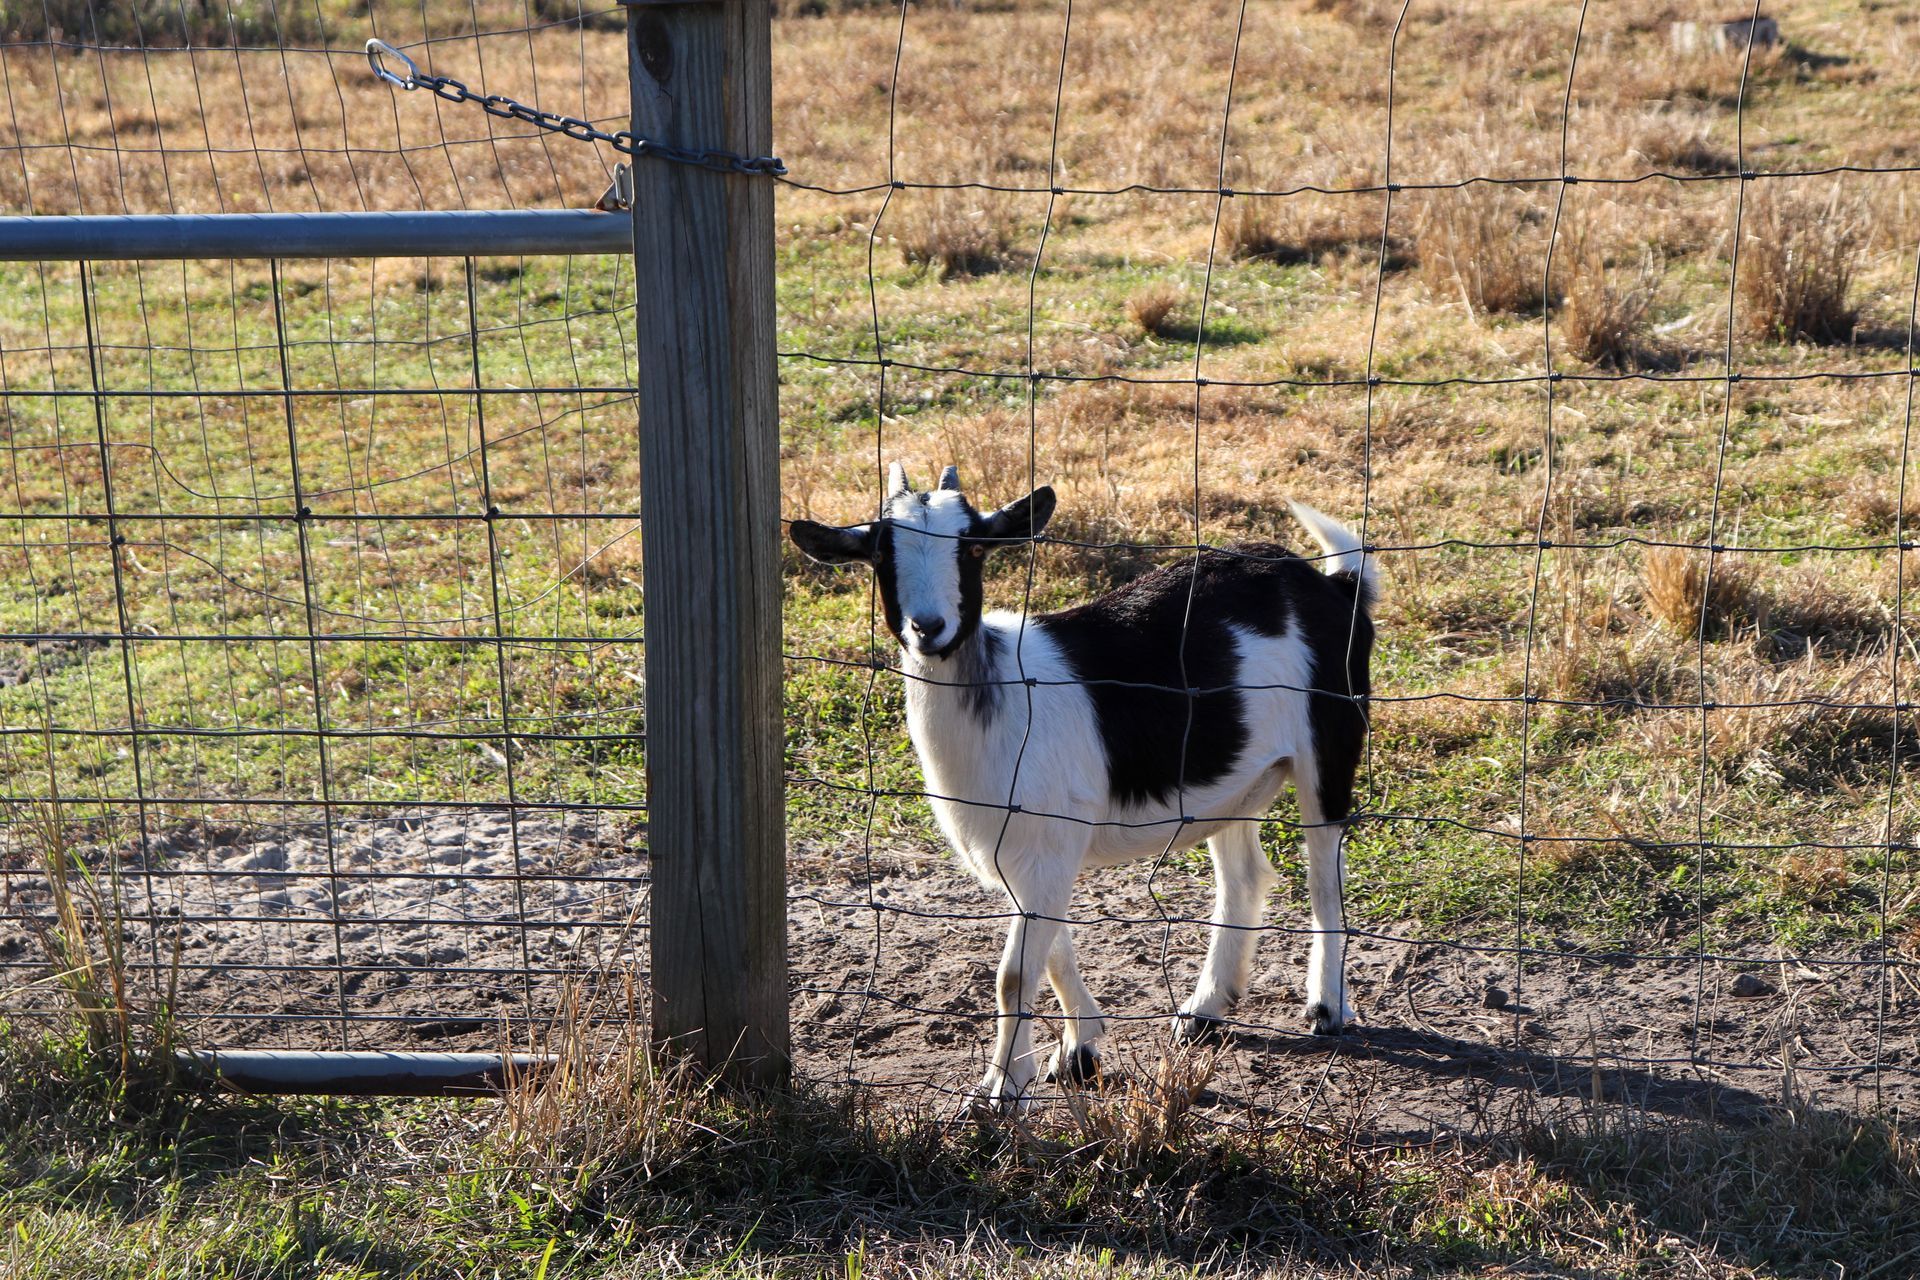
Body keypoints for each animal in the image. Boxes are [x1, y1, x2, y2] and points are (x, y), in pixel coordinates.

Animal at [790, 464, 1376, 1110]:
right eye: (879, 553)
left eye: (972, 547)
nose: (929, 628)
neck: (1001, 693)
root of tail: (1335, 585)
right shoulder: (1025, 851)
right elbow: (1051, 953)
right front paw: (1078, 1052)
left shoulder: (1048, 840)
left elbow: (1014, 974)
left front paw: (1002, 1090)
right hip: (1233, 780)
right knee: (1245, 875)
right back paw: (1203, 1012)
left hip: (1331, 737)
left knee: (1325, 876)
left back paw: (1326, 1007)